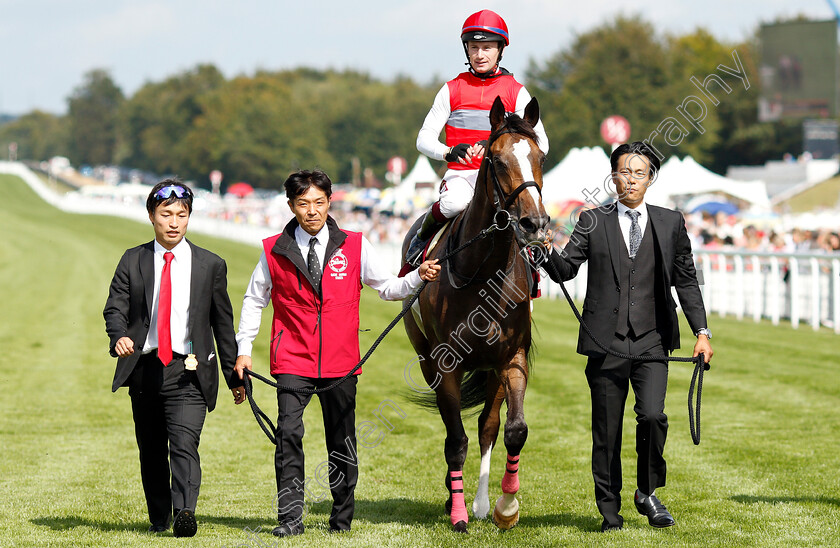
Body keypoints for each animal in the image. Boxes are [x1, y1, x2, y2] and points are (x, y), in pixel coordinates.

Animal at [402, 96, 548, 532]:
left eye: (540, 157)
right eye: (497, 161)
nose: (535, 223)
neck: (483, 271)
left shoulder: (511, 358)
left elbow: (512, 430)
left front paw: (505, 507)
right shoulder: (445, 364)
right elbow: (455, 442)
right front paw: (458, 512)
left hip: (490, 370)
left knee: (487, 426)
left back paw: (483, 503)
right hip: (426, 358)